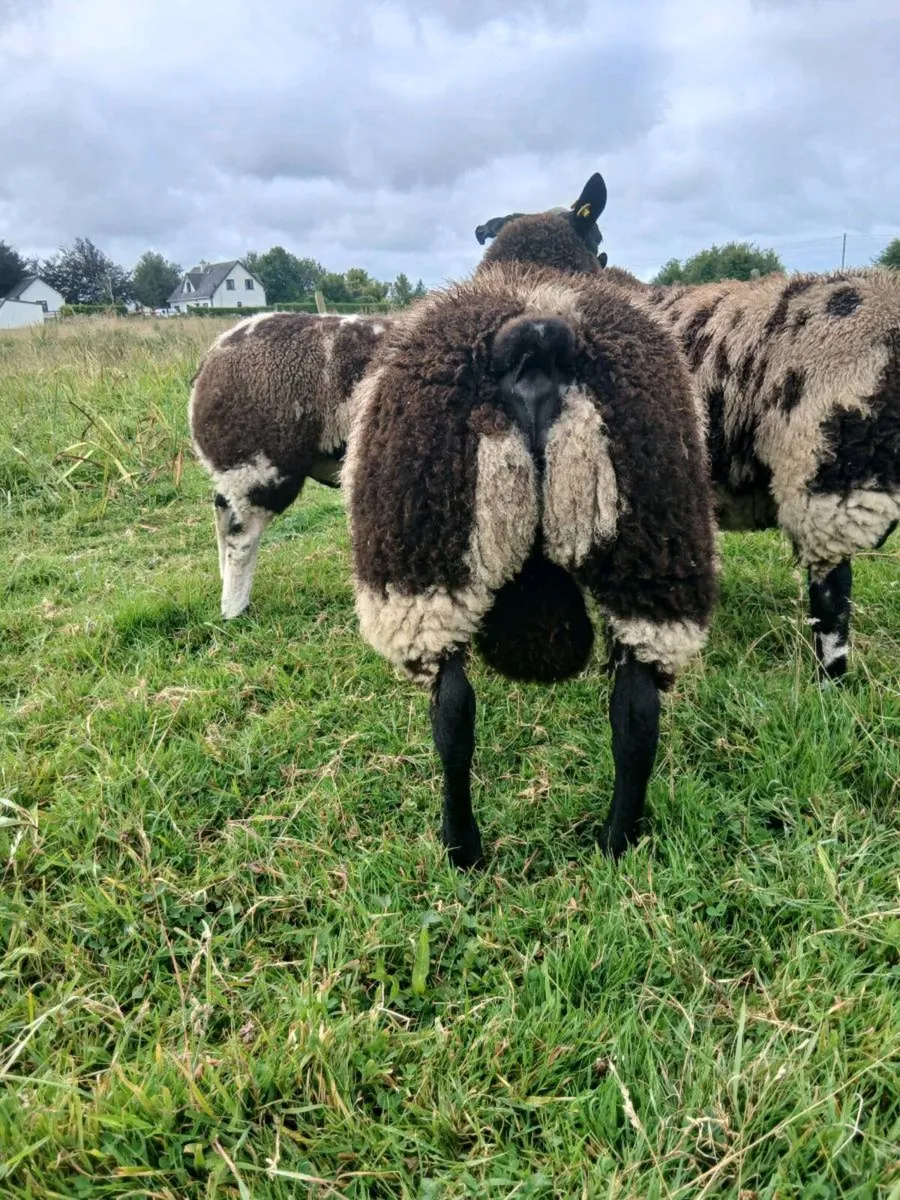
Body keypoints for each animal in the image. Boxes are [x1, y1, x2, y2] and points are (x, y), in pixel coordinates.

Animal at [188, 310, 391, 618]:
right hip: (259, 465)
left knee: (221, 510)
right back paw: (235, 610)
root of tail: (212, 357)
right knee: (241, 537)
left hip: (233, 465)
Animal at [343, 173, 718, 869]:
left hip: (418, 565)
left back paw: (463, 847)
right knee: (636, 715)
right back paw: (614, 843)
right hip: (653, 551)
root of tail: (539, 337)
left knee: (452, 713)